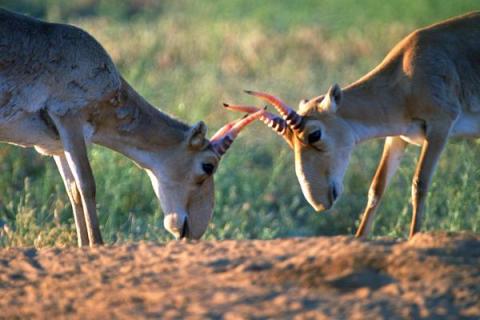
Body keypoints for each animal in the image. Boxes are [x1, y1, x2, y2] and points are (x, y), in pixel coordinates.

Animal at [0, 8, 262, 246]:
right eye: (208, 165)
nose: (195, 231)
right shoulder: (69, 118)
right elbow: (87, 185)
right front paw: (97, 245)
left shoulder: (55, 144)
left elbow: (73, 191)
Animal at [225, 11, 480, 238]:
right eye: (290, 143)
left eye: (314, 134)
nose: (319, 202)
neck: (407, 73)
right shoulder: (397, 136)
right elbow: (376, 188)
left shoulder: (440, 126)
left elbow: (420, 185)